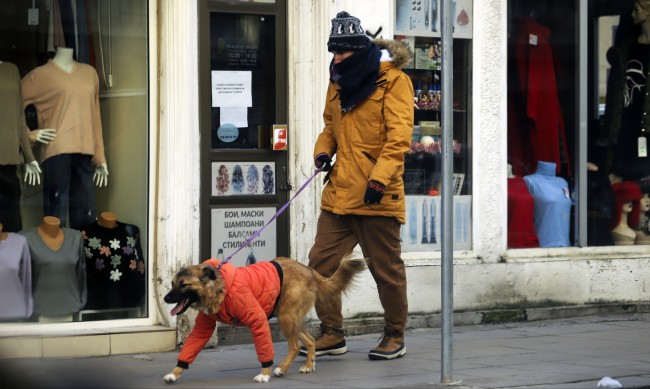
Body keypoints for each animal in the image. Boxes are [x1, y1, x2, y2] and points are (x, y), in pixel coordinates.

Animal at [162, 252, 364, 382]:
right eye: (172, 284)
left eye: (183, 284)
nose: (165, 298)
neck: (219, 286)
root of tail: (308, 270)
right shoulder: (203, 329)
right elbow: (189, 349)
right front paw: (175, 373)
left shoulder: (257, 320)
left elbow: (264, 349)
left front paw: (265, 373)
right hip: (291, 318)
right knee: (310, 340)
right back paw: (308, 365)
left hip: (286, 317)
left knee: (295, 346)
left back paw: (281, 369)